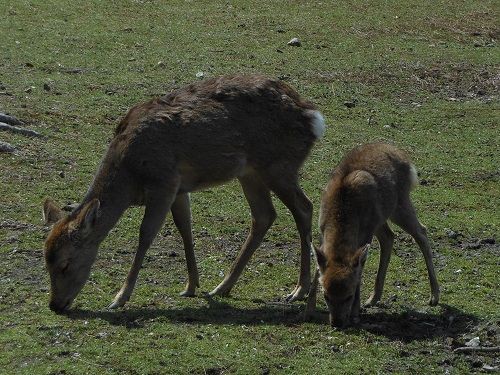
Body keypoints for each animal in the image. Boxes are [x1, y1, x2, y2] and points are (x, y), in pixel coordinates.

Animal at [42, 74, 324, 314]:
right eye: (46, 260)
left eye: (65, 264)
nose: (55, 304)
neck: (130, 176)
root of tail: (314, 117)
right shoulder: (179, 188)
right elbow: (184, 227)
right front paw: (191, 286)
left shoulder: (163, 181)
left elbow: (146, 235)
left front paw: (120, 298)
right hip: (250, 173)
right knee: (264, 215)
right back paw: (222, 287)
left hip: (278, 166)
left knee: (304, 207)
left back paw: (299, 290)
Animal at [306, 144, 440, 328]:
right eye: (326, 295)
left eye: (349, 295)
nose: (337, 322)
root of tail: (406, 160)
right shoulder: (322, 231)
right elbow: (318, 267)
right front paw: (308, 310)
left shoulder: (366, 231)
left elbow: (360, 269)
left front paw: (355, 313)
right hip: (382, 217)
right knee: (389, 237)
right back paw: (373, 298)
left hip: (399, 205)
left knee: (421, 232)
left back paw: (434, 296)